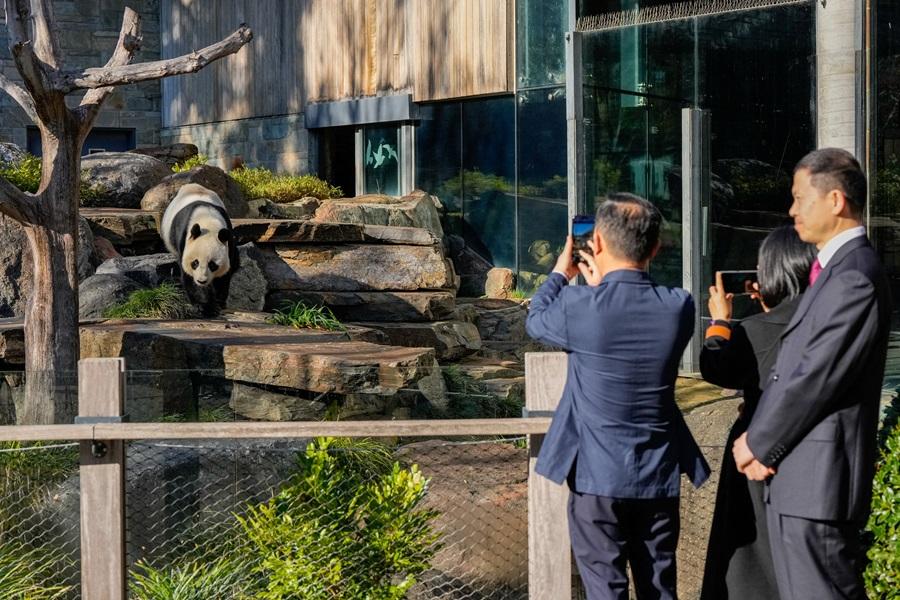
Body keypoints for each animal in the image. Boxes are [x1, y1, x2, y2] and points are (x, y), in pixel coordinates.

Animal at [160, 183, 240, 316]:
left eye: (212, 265)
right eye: (195, 263)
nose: (202, 280)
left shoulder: (228, 240)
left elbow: (223, 275)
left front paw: (218, 303)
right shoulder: (184, 241)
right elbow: (189, 276)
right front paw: (205, 307)